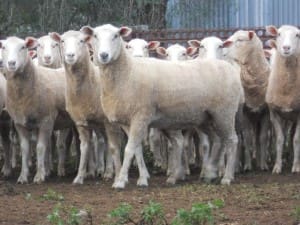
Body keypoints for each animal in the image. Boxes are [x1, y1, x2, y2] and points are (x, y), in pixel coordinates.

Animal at [0, 35, 74, 183]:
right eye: (4, 47)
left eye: (23, 47)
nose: (11, 63)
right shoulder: (19, 123)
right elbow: (25, 148)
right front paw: (23, 176)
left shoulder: (46, 121)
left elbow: (40, 148)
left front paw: (39, 175)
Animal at [49, 29, 122, 184]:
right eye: (62, 41)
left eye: (81, 41)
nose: (70, 55)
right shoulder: (80, 121)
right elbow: (84, 147)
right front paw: (80, 175)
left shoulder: (107, 121)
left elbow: (111, 146)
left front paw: (111, 173)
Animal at [81, 23, 244, 188]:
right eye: (95, 36)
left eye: (116, 36)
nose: (104, 55)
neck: (128, 72)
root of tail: (229, 67)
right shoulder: (127, 121)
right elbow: (137, 149)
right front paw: (142, 178)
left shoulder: (141, 116)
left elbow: (128, 149)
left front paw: (120, 181)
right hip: (207, 117)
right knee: (217, 140)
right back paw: (210, 173)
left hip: (225, 112)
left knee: (232, 140)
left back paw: (227, 177)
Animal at [223, 30, 272, 171]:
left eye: (240, 39)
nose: (224, 52)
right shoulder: (244, 114)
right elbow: (247, 138)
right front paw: (248, 165)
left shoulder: (266, 112)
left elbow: (262, 138)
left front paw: (263, 164)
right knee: (241, 139)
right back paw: (238, 165)